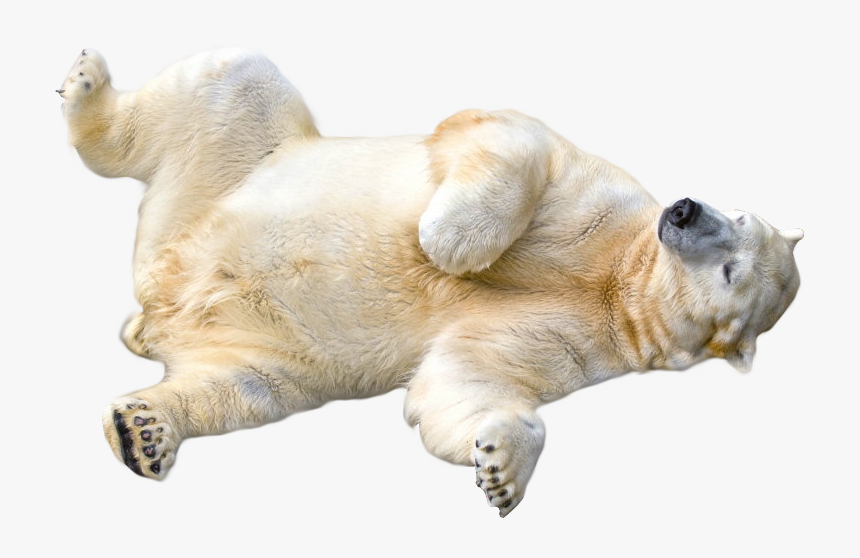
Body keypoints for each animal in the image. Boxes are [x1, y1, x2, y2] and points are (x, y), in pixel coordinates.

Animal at [58, 48, 802, 516]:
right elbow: (514, 135)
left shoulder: (597, 340)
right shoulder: (602, 202)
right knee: (233, 78)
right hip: (221, 173)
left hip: (270, 345)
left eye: (733, 266)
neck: (621, 278)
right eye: (740, 214)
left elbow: (464, 377)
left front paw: (501, 471)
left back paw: (146, 431)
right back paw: (87, 84)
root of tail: (156, 302)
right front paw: (448, 244)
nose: (684, 209)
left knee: (246, 389)